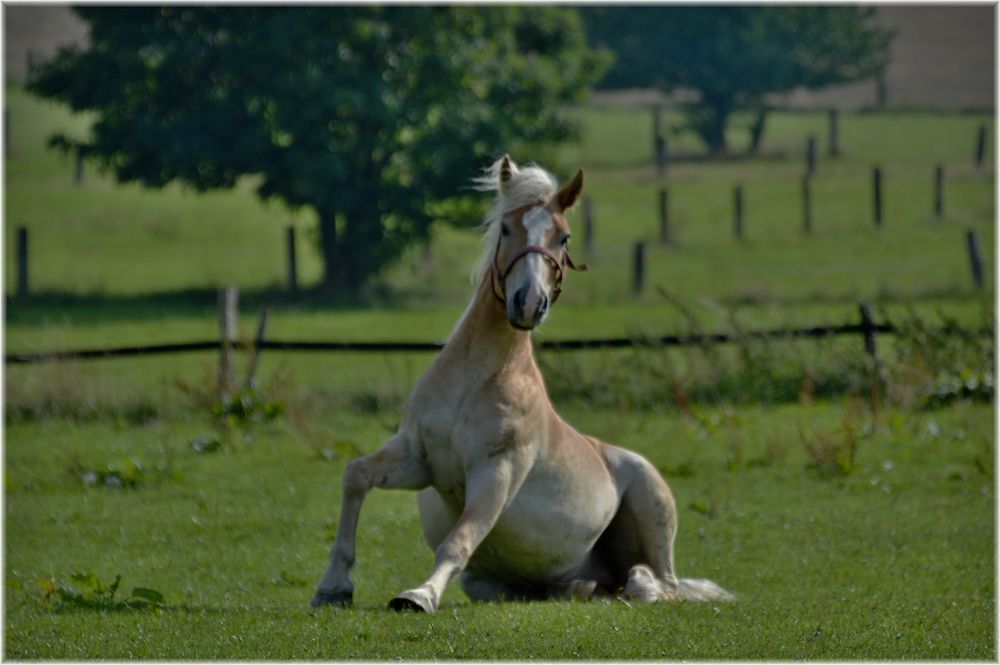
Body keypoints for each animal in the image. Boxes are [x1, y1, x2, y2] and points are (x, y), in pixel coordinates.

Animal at [308, 156, 732, 612]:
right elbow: (356, 475)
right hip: (497, 581)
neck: (475, 380)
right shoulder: (417, 457)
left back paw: (640, 584)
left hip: (650, 502)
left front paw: (418, 595)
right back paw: (581, 588)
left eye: (563, 237)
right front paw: (333, 587)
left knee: (661, 583)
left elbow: (459, 541)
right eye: (507, 229)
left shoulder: (497, 470)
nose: (528, 304)